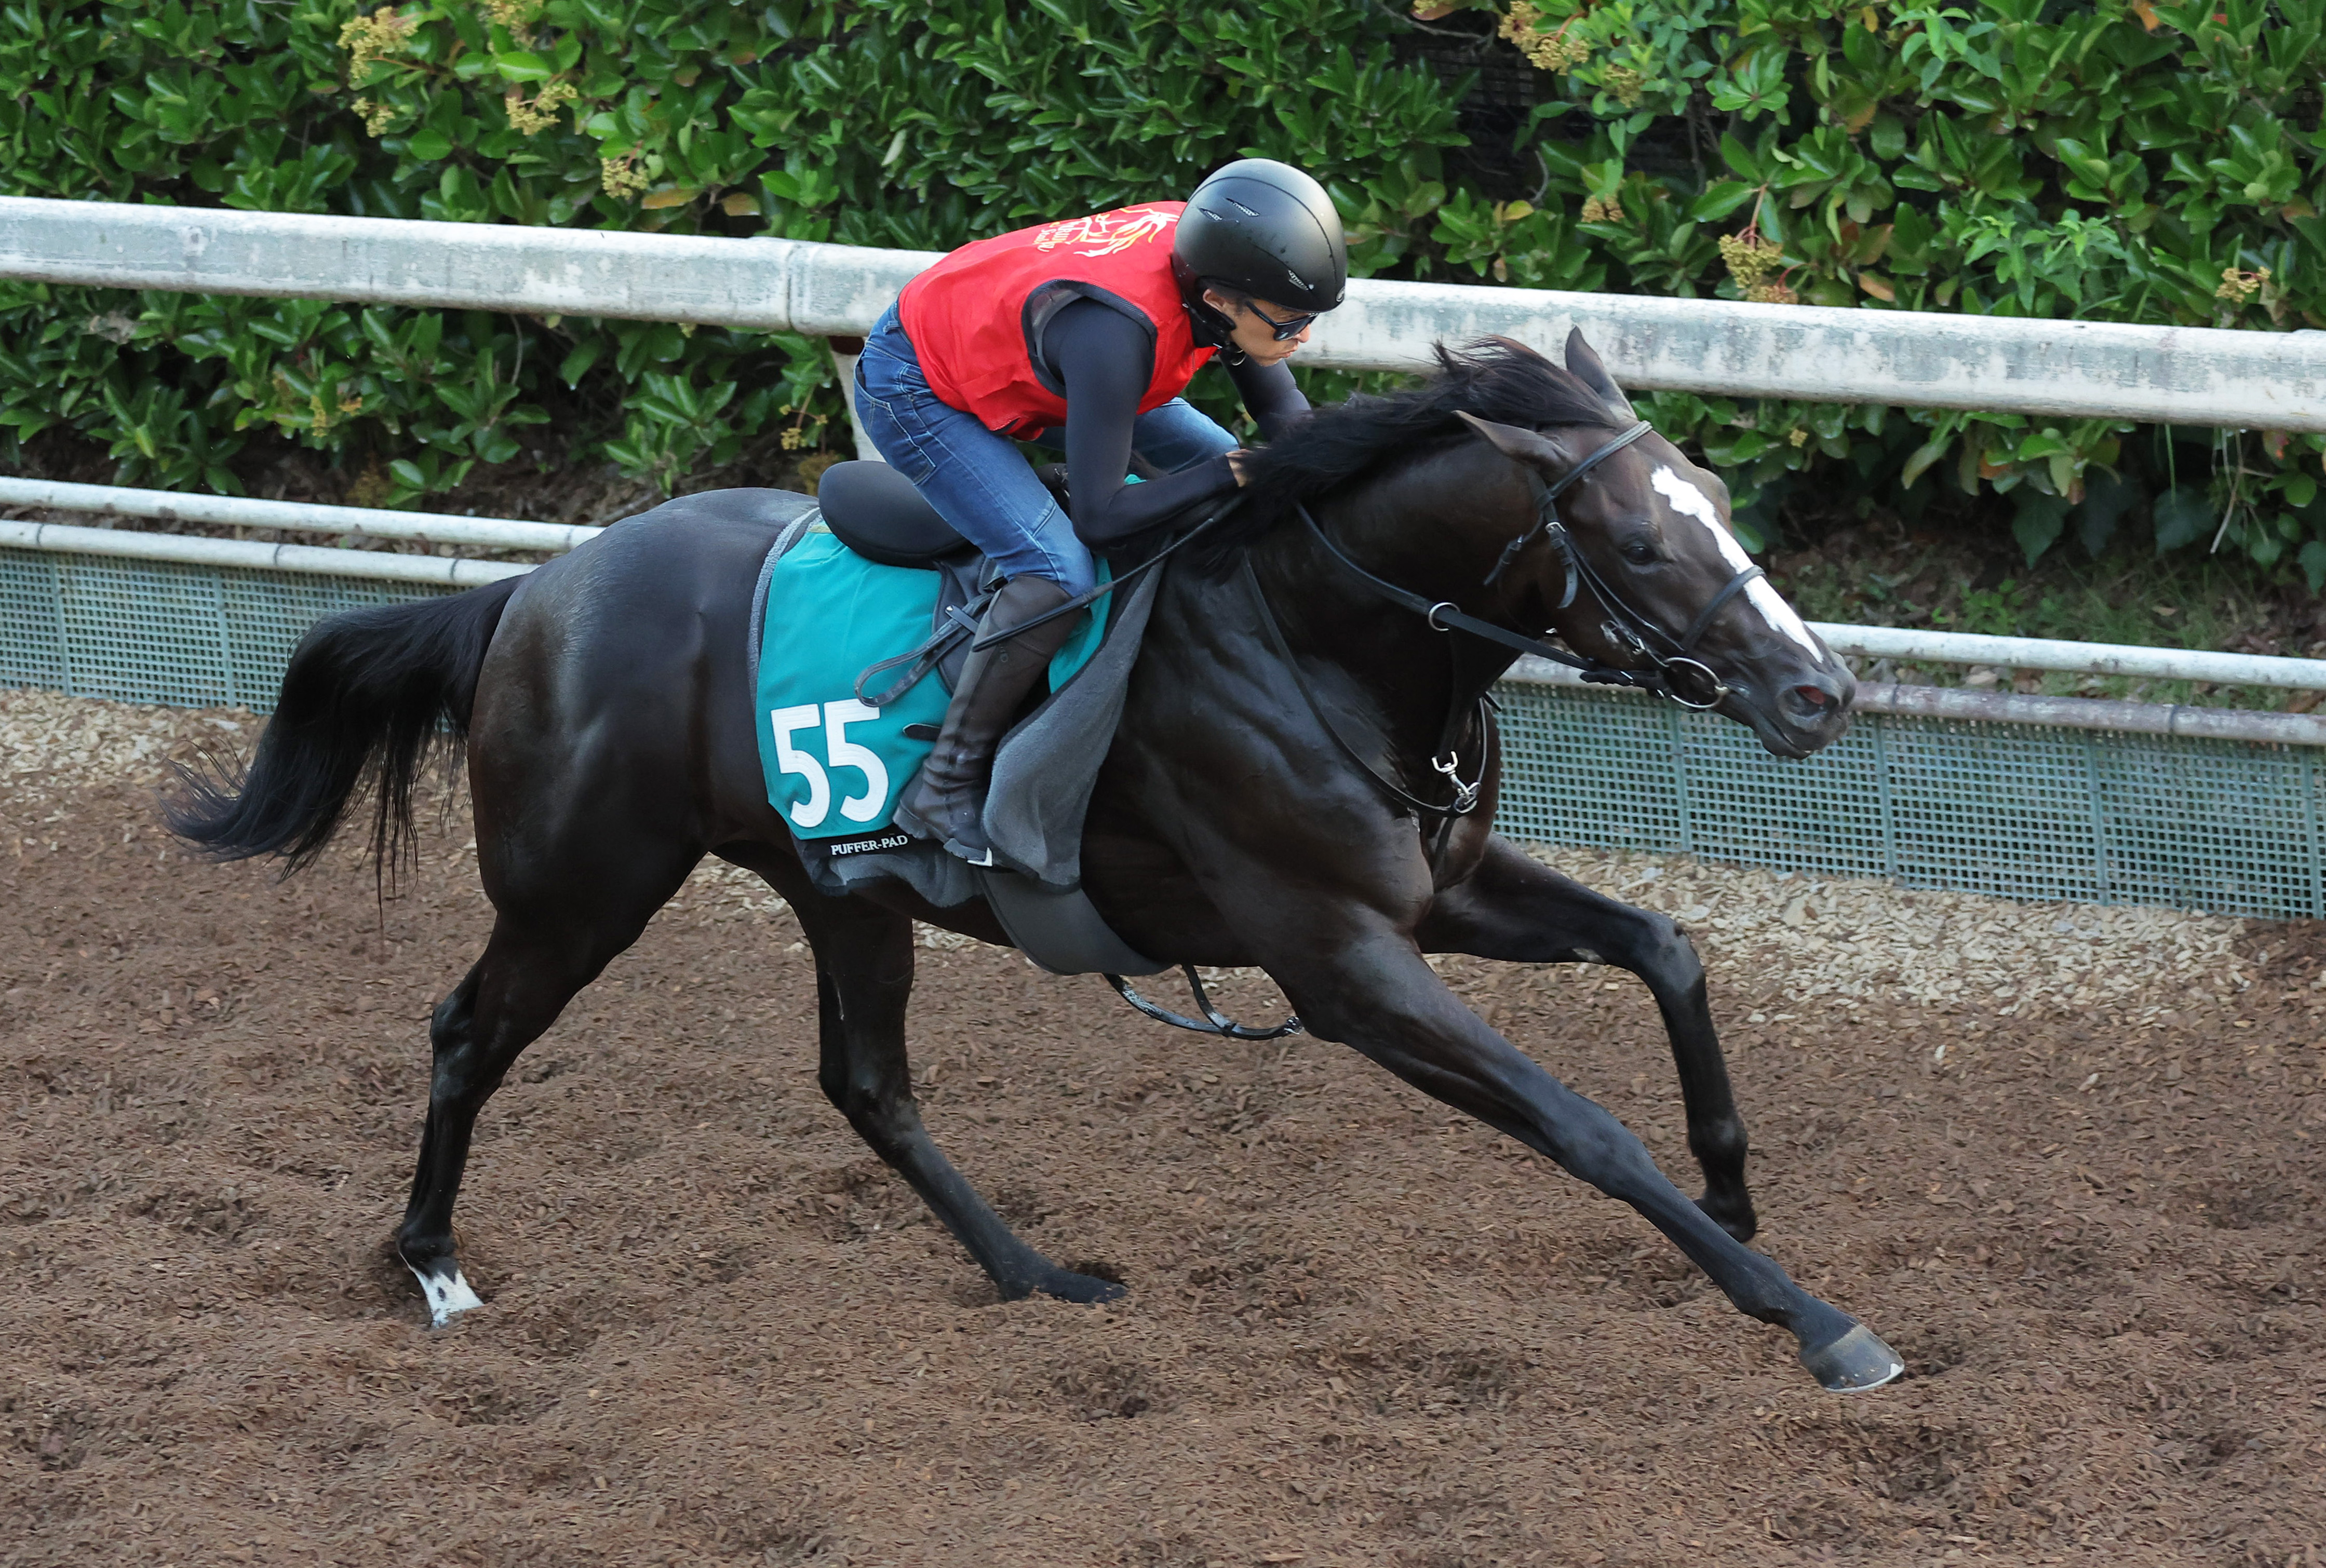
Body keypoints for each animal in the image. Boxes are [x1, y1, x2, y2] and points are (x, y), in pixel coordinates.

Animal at [167, 333, 1902, 1392]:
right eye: (1637, 540)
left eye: (1718, 500)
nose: (1818, 689)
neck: (1315, 640)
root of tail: (532, 590)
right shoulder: (1338, 958)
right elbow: (1576, 1122)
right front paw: (1815, 1322)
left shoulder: (1438, 893)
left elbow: (1665, 946)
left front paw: (1732, 1191)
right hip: (582, 883)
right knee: (470, 1030)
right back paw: (434, 1267)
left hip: (835, 889)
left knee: (866, 1084)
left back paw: (1035, 1274)